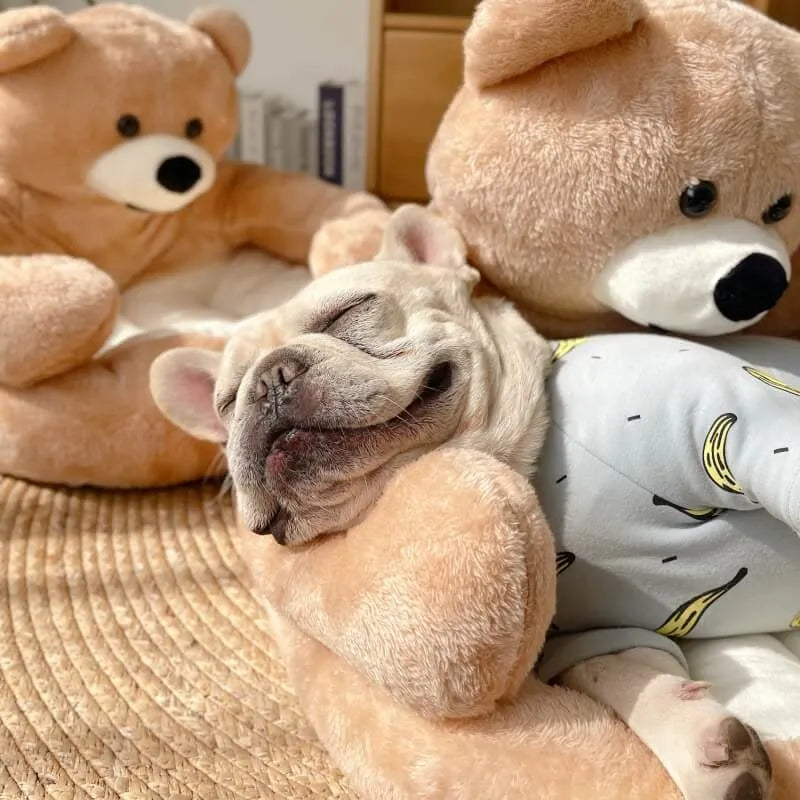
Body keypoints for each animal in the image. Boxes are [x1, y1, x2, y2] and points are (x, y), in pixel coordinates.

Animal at [150, 208, 792, 800]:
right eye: (227, 402)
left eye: (350, 311)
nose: (266, 381)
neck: (527, 468)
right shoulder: (595, 631)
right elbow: (620, 670)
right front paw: (700, 744)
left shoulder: (736, 417)